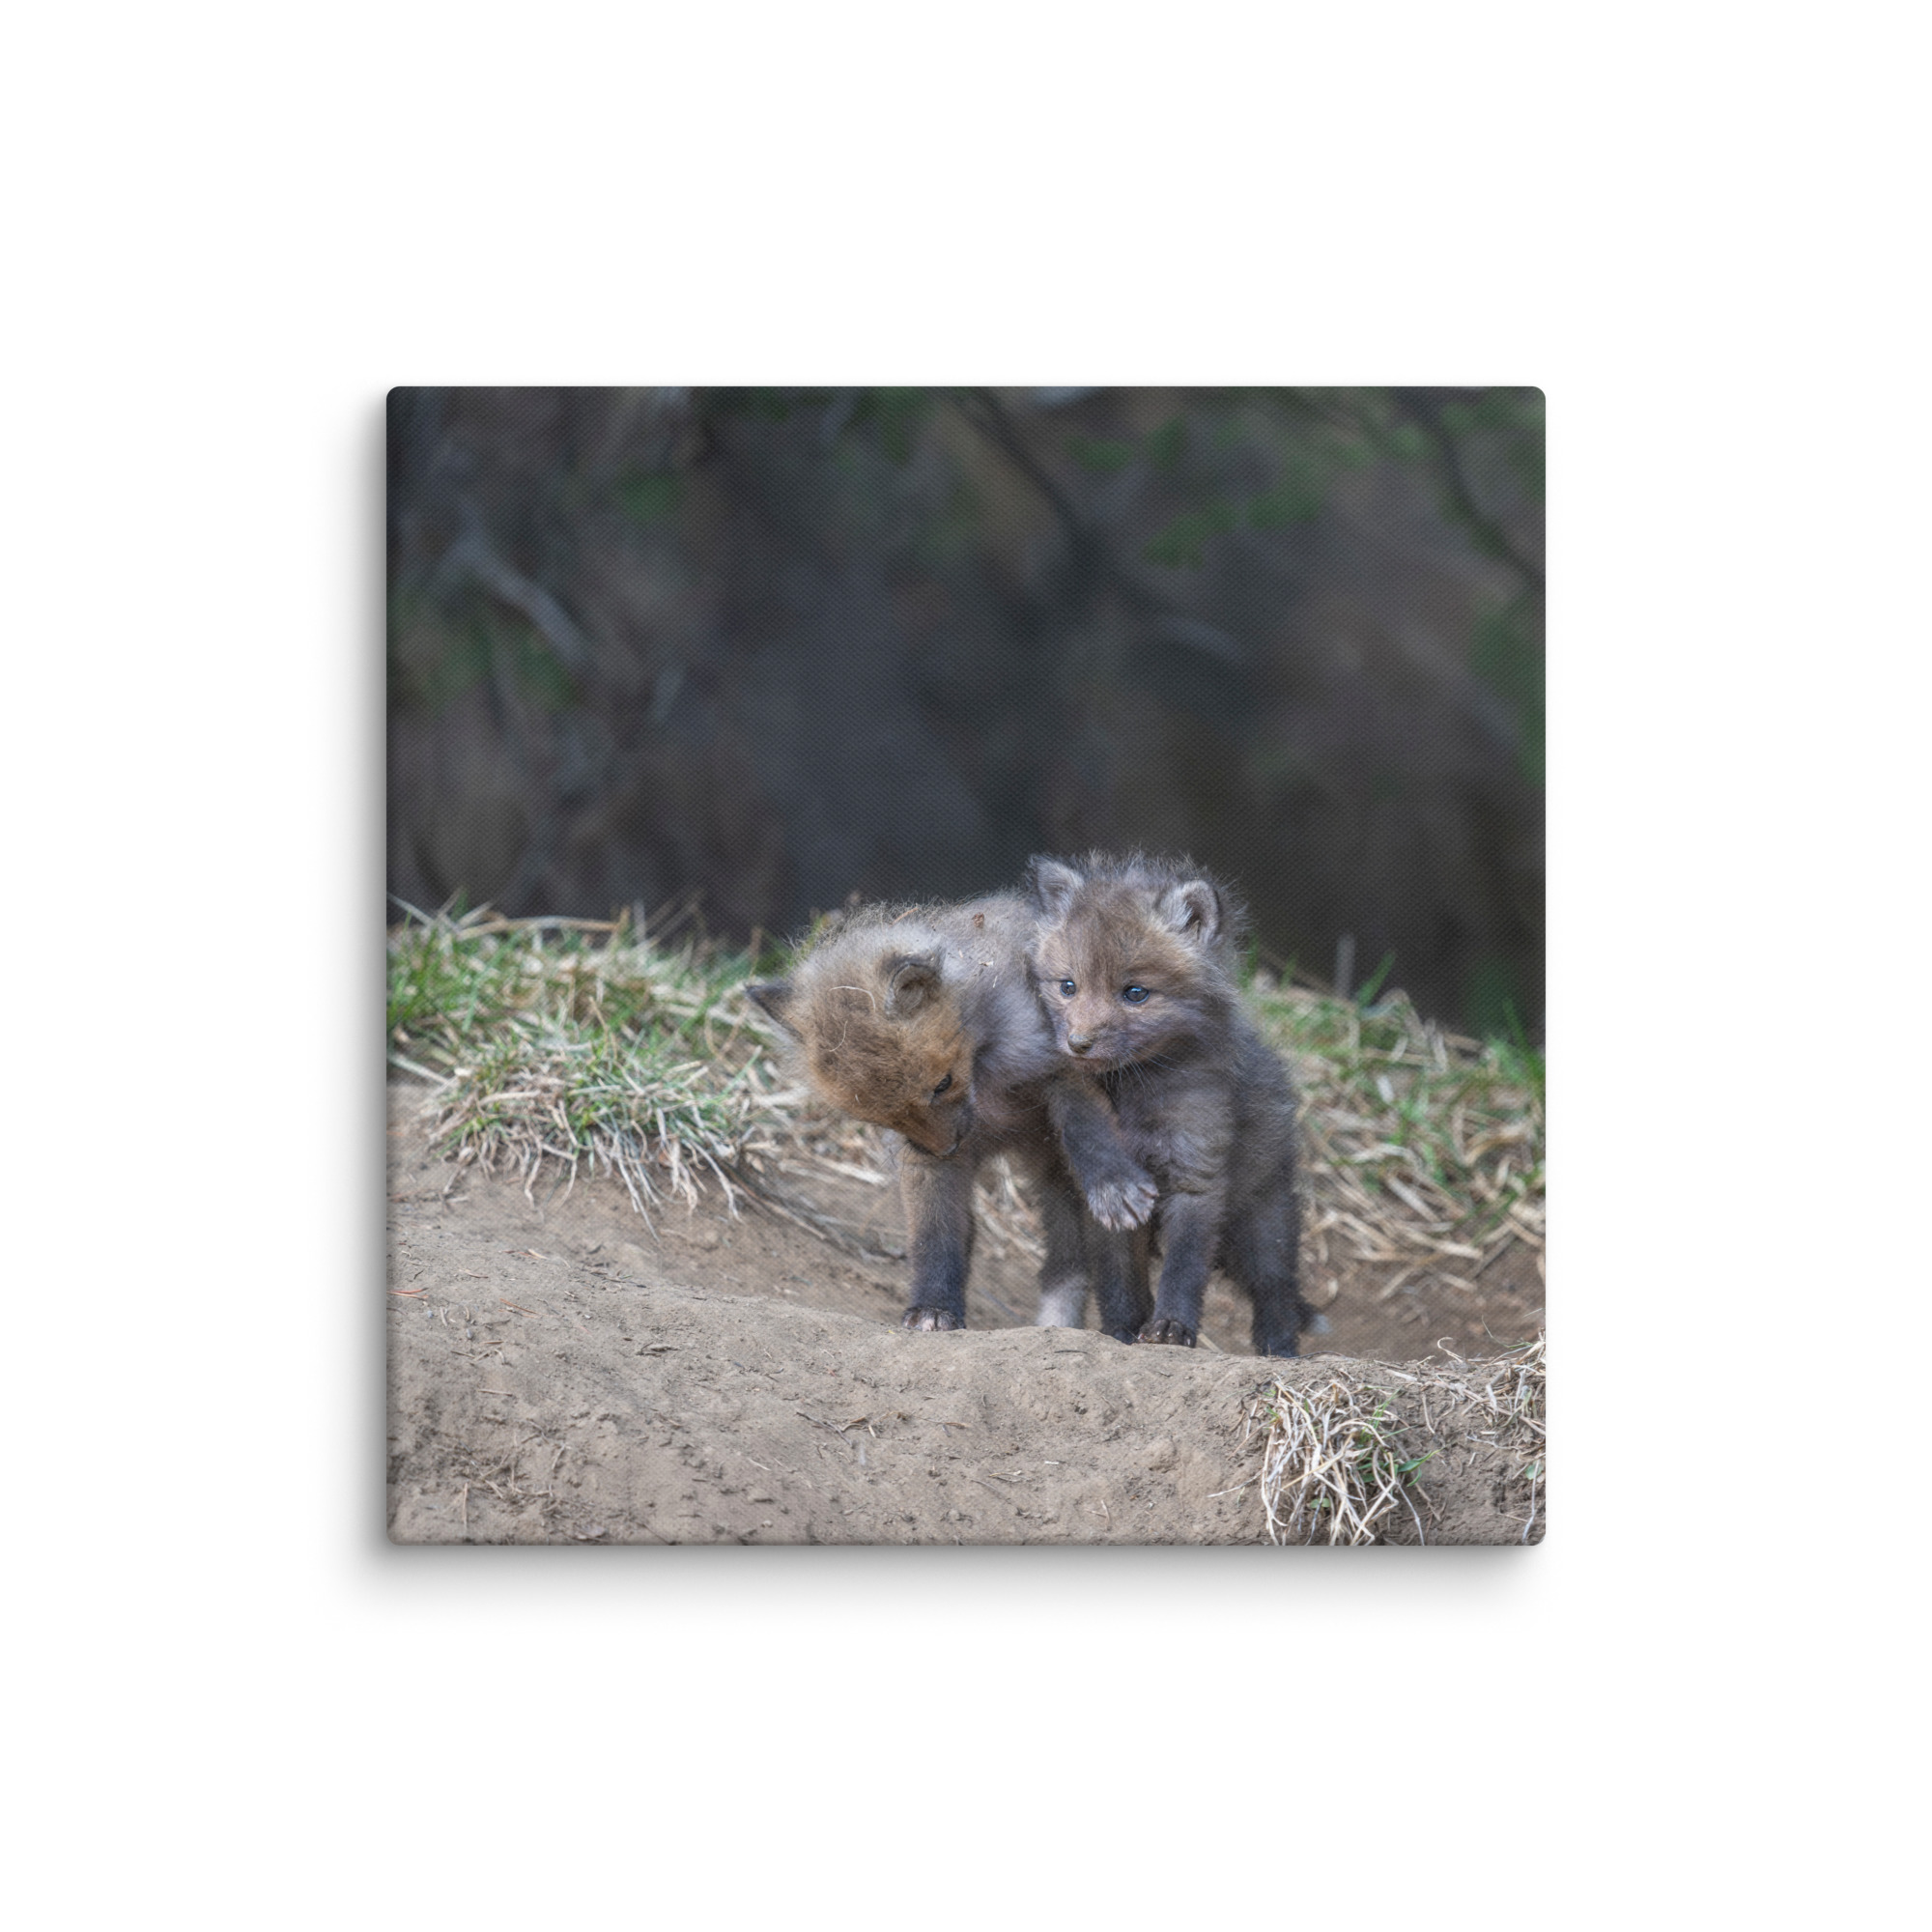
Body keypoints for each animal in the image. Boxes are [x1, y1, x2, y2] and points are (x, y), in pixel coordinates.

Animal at [745, 893, 1157, 1337]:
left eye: (942, 1084)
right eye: (882, 1117)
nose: (946, 1148)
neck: (986, 1078)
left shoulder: (1063, 1065)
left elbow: (1088, 1129)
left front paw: (1113, 1184)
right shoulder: (922, 1160)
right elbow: (935, 1236)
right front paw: (933, 1307)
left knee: (1114, 1265)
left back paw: (1126, 1329)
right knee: (1065, 1264)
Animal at [1025, 851, 1306, 1357]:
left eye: (1135, 993)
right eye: (1068, 986)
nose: (1077, 1044)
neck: (1135, 1094)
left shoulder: (1196, 1174)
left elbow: (1184, 1267)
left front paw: (1172, 1328)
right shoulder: (1109, 1201)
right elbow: (1119, 1278)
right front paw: (1121, 1331)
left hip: (1263, 1223)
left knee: (1277, 1289)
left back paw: (1281, 1351)